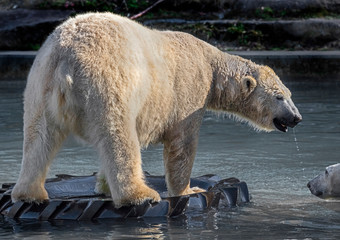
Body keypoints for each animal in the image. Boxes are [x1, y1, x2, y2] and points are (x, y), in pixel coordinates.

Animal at [11, 12, 302, 207]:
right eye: (279, 97)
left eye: (289, 95)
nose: (296, 118)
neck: (212, 65)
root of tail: (67, 59)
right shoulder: (190, 91)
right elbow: (182, 144)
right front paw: (190, 190)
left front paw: (103, 186)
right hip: (107, 84)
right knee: (118, 137)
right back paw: (140, 195)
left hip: (41, 83)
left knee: (39, 136)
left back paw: (29, 194)